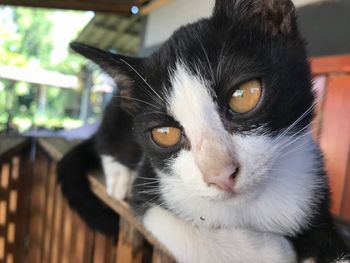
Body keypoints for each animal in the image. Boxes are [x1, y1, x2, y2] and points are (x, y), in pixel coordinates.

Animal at [57, 0, 350, 262]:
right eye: (165, 134)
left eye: (244, 95)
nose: (219, 175)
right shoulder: (150, 182)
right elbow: (172, 224)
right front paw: (273, 251)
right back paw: (119, 175)